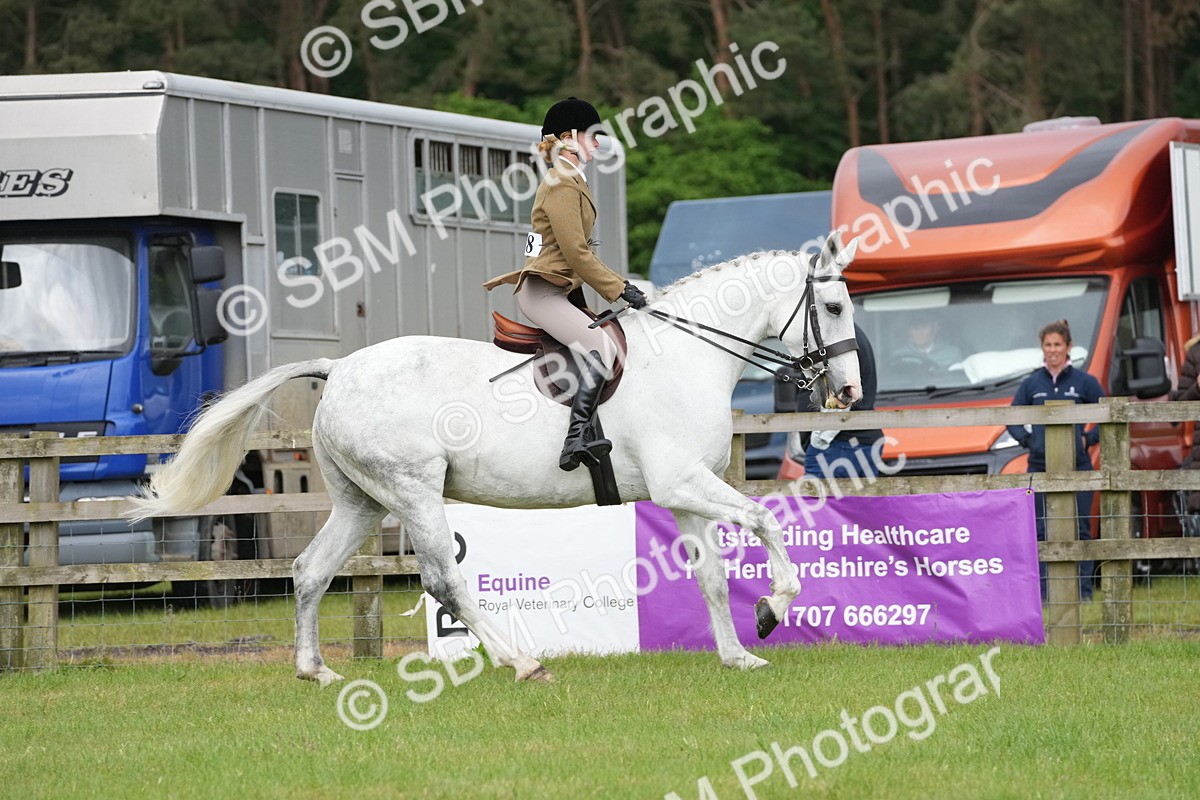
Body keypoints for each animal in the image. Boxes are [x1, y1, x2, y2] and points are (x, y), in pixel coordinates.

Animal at [129, 231, 863, 686]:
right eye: (832, 305)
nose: (849, 393)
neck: (687, 355)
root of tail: (338, 370)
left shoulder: (684, 492)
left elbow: (710, 575)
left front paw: (739, 657)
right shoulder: (684, 481)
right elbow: (766, 520)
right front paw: (772, 610)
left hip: (362, 501)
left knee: (310, 570)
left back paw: (317, 671)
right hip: (415, 493)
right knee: (444, 582)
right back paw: (522, 663)